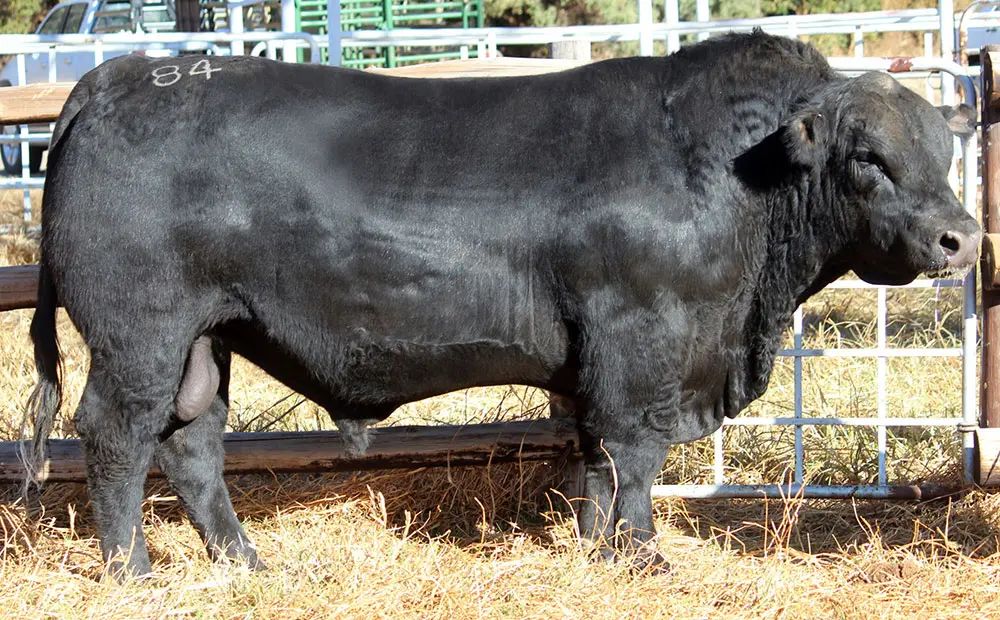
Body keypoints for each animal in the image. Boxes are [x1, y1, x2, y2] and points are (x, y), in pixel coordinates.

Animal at [22, 31, 980, 577]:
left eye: (943, 151)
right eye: (868, 158)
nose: (961, 238)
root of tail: (125, 75)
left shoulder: (600, 356)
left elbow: (594, 458)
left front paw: (598, 550)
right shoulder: (640, 340)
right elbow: (635, 452)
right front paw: (644, 558)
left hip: (204, 338)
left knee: (192, 444)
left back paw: (247, 564)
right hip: (140, 333)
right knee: (116, 435)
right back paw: (132, 570)